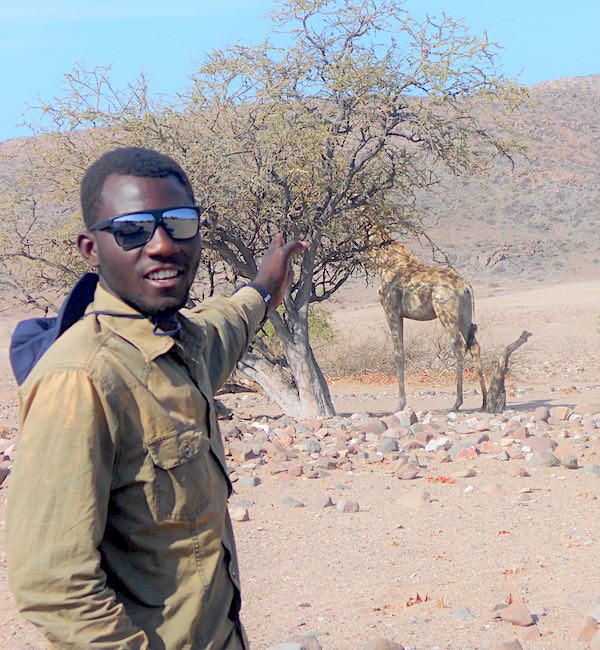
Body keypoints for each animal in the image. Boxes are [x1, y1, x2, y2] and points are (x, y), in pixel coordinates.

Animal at [371, 236, 487, 411]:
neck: (385, 259)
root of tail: (466, 286)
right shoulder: (400, 314)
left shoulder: (391, 310)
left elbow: (398, 354)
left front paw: (400, 404)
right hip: (464, 316)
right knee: (474, 346)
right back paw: (485, 401)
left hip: (446, 314)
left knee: (459, 346)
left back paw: (457, 403)